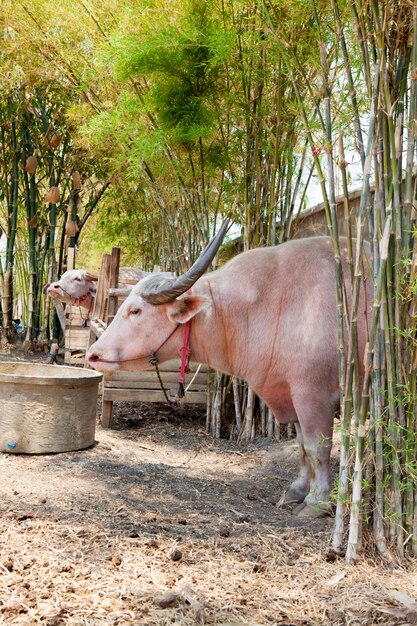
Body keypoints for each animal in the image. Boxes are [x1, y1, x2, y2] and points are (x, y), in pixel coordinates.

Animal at [86, 222, 372, 516]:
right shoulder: (293, 396)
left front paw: (317, 502)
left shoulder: (315, 397)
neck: (271, 306)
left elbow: (317, 448)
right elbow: (302, 446)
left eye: (135, 311)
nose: (93, 354)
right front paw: (297, 490)